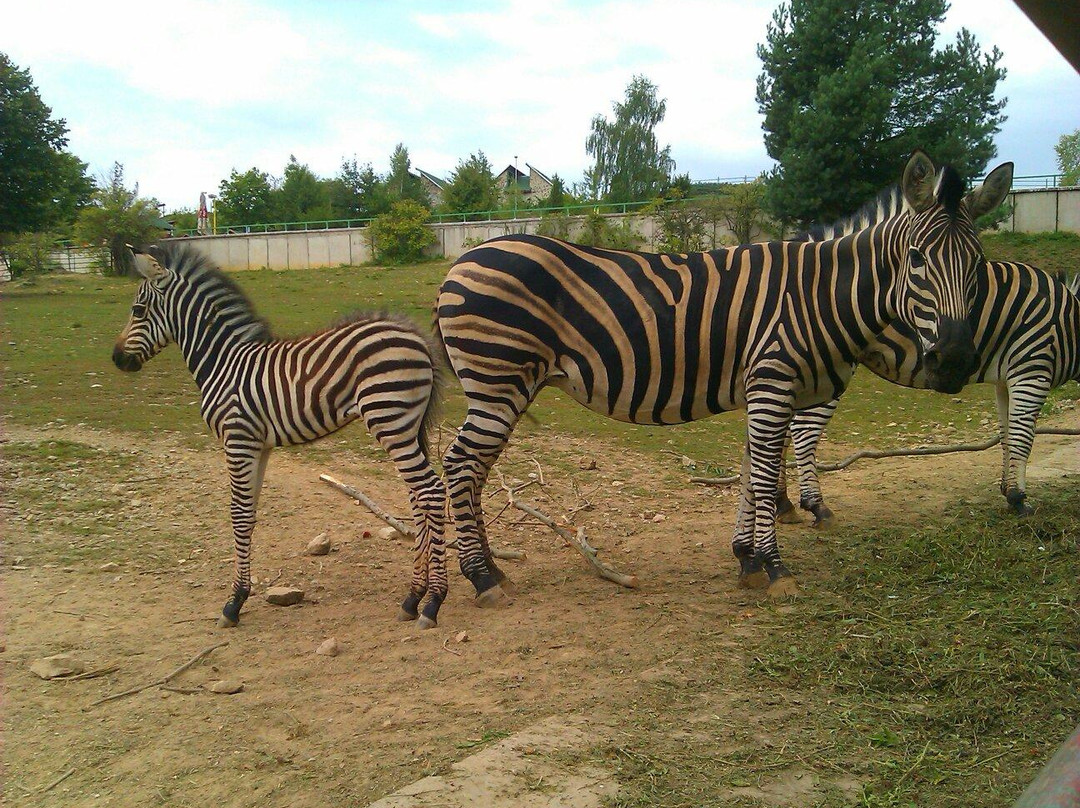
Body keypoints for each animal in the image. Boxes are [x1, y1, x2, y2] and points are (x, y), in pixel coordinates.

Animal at [110, 246, 447, 630]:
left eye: (138, 310)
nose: (116, 358)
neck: (222, 362)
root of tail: (418, 338)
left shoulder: (237, 438)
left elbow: (238, 513)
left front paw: (233, 603)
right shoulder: (259, 445)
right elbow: (249, 514)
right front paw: (240, 596)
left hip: (390, 420)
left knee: (432, 491)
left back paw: (433, 602)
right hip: (408, 427)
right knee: (418, 497)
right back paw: (413, 597)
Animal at [436, 151, 1010, 604]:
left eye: (977, 264)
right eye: (917, 260)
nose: (955, 361)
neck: (816, 296)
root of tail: (462, 260)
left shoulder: (767, 388)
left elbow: (753, 468)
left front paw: (748, 559)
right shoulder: (774, 382)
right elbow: (763, 472)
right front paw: (774, 567)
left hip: (503, 387)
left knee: (475, 469)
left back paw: (494, 571)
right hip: (498, 381)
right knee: (461, 465)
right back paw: (481, 577)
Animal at [781, 262, 1080, 524]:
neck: (1070, 325)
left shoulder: (1006, 380)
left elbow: (1006, 436)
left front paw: (1007, 491)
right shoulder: (1031, 368)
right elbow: (1022, 438)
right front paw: (1019, 500)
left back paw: (784, 505)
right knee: (803, 430)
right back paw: (816, 505)